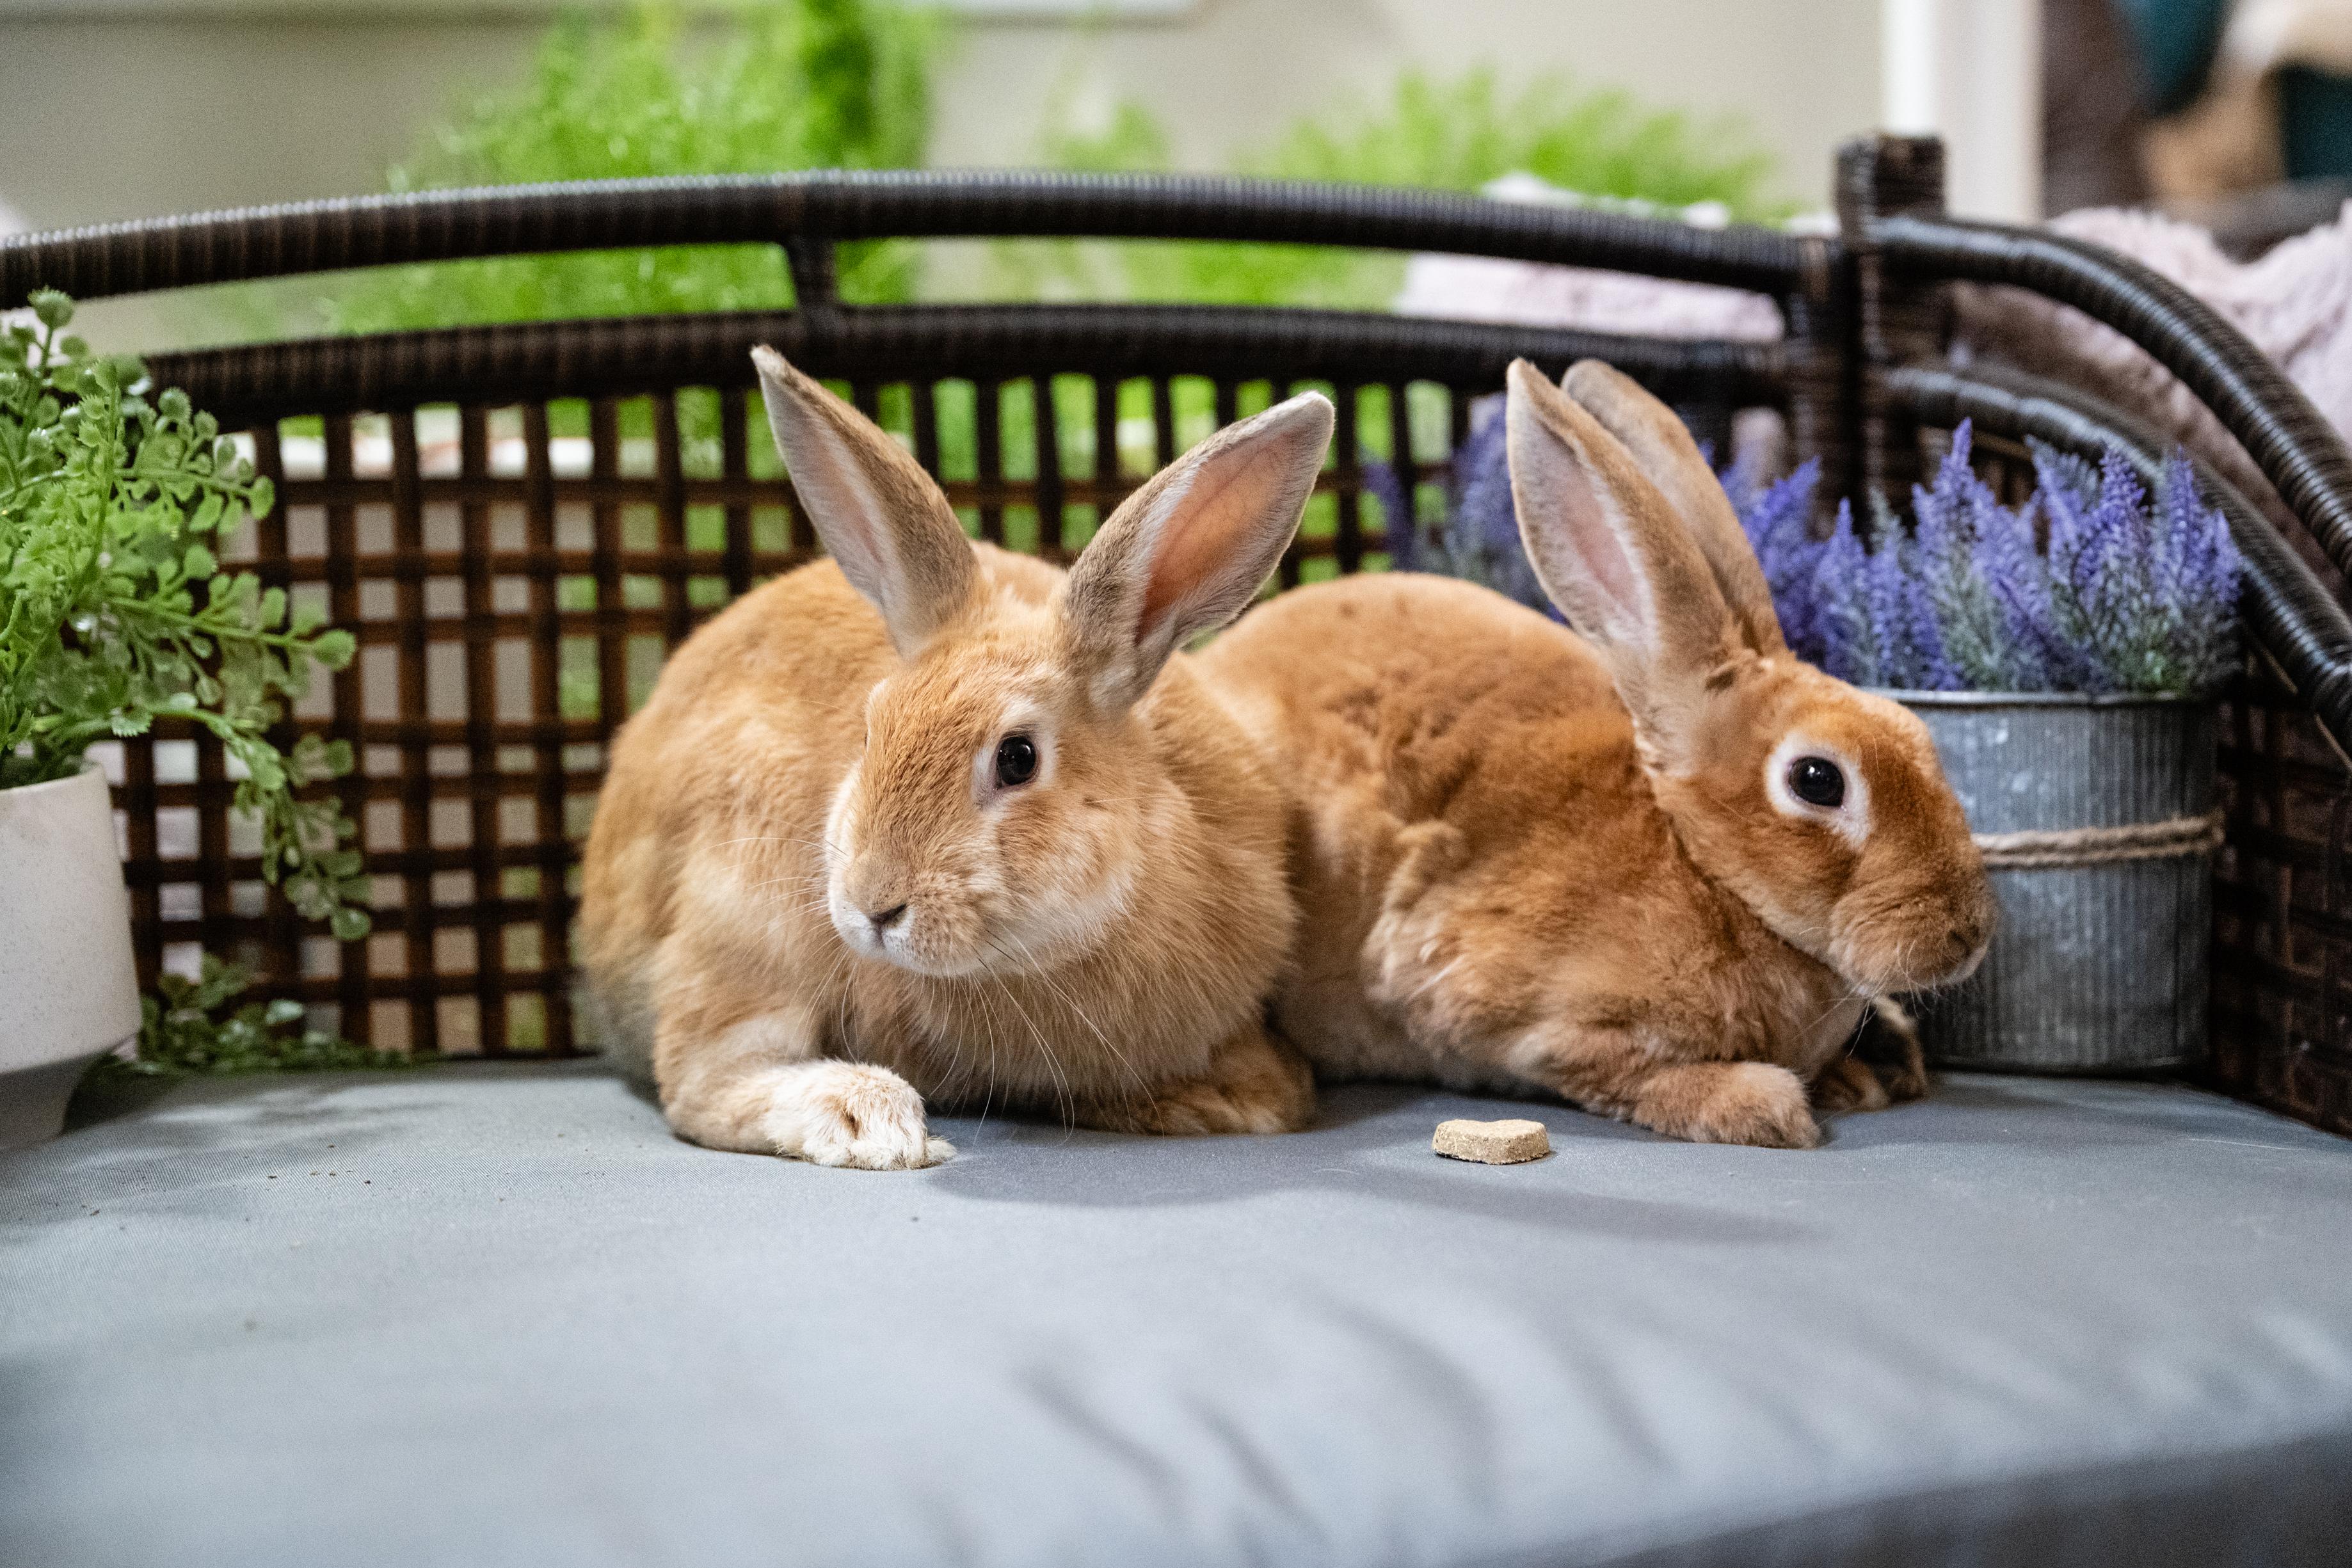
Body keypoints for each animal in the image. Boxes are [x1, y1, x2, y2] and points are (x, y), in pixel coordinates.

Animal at [579, 347, 1334, 1168]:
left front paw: (1251, 1095)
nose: (872, 904)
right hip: (743, 900)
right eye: (870, 730)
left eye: (1018, 757)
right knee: (701, 1076)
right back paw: (868, 1116)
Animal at [1196, 358, 1995, 1149]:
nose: (1969, 934)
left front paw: (1860, 1074)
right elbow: (1622, 1073)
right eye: (1818, 779)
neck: (1704, 871)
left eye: (1914, 729)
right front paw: (1762, 1106)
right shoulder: (1530, 1026)